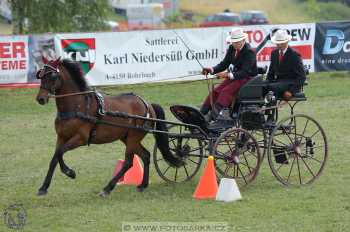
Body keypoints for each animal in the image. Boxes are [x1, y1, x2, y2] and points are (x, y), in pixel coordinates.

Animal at [36, 57, 183, 197]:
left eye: (52, 76)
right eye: (40, 75)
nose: (40, 99)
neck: (77, 105)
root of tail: (147, 104)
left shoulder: (81, 138)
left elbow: (61, 152)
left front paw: (69, 172)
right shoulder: (61, 137)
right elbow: (55, 157)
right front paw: (43, 187)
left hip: (133, 138)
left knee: (128, 162)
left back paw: (107, 188)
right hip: (127, 138)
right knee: (145, 156)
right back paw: (142, 185)